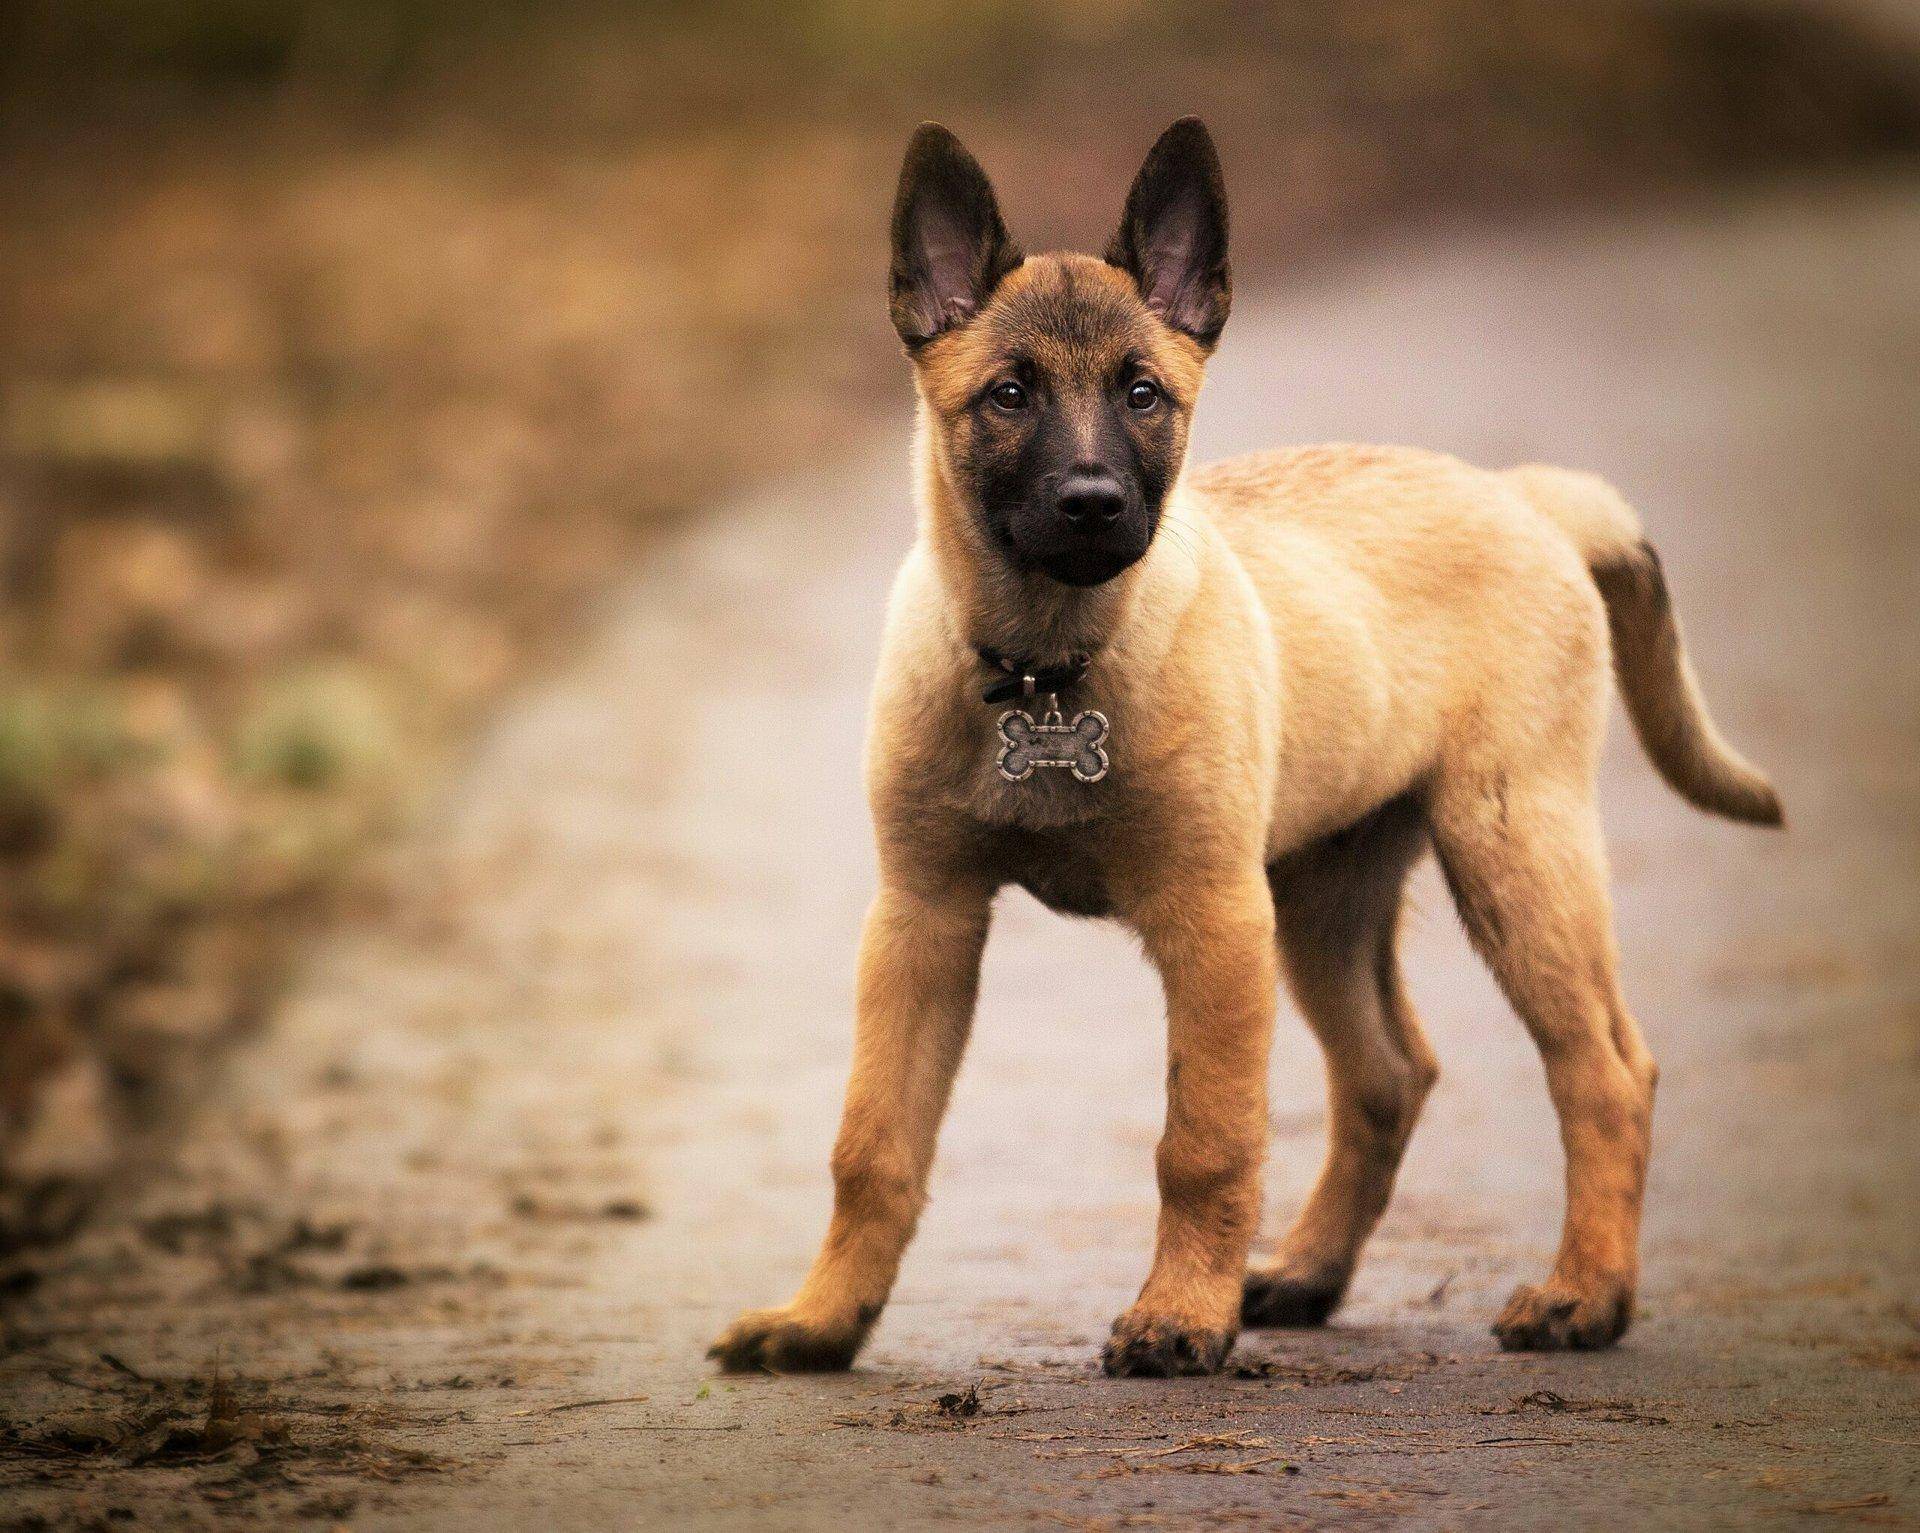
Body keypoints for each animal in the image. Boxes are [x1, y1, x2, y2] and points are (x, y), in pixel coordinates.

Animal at [710, 114, 1781, 1375]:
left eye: (1144, 393)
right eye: (1009, 394)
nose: (1091, 502)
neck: (1049, 668)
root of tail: (1528, 497)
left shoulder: (1210, 919)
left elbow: (1205, 1141)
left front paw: (1178, 1317)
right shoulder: (923, 920)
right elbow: (872, 1145)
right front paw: (823, 1319)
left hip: (1513, 851)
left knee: (1606, 1072)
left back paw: (1584, 1297)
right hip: (1326, 893)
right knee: (1389, 1075)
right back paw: (1309, 1273)